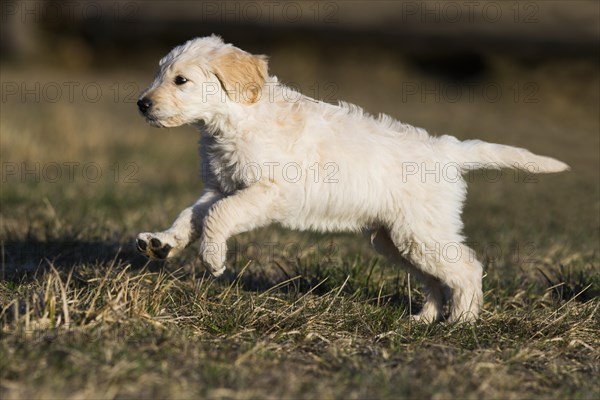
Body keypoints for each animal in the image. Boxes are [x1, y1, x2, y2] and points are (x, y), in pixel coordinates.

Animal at [135, 36, 568, 324]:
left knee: (467, 268)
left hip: (422, 232)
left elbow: (218, 216)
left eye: (180, 80)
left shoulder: (269, 192)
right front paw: (162, 242)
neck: (236, 117)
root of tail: (445, 149)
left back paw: (462, 321)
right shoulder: (221, 186)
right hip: (395, 239)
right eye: (158, 74)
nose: (141, 103)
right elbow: (191, 215)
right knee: (434, 278)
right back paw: (424, 318)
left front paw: (212, 256)